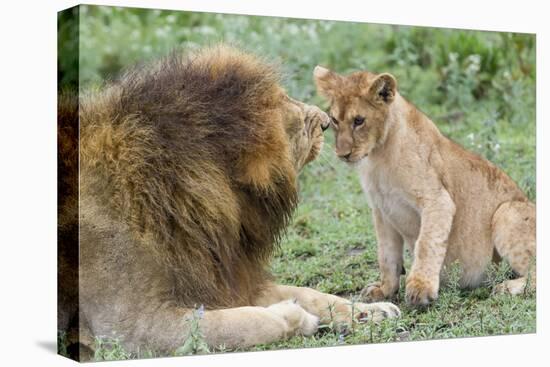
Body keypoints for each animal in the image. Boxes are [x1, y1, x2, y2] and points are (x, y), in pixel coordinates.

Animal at [58, 45, 398, 360]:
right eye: (285, 102)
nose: (327, 121)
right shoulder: (131, 327)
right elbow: (242, 323)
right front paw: (295, 317)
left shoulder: (224, 278)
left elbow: (310, 294)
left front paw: (369, 310)